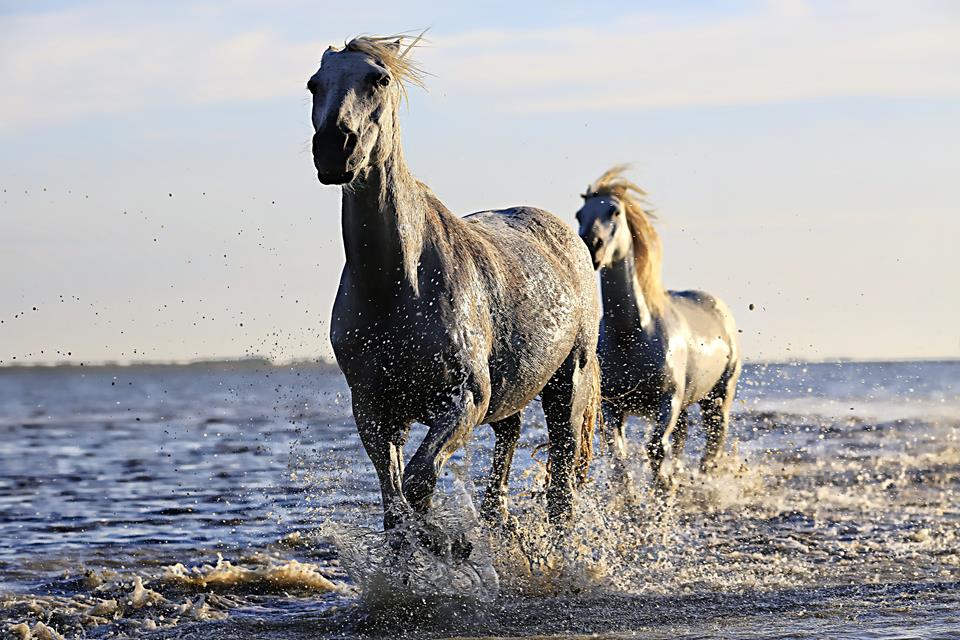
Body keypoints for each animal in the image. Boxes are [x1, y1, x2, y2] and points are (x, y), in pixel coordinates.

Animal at [307, 35, 601, 553]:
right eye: (313, 84)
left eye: (379, 79)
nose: (334, 149)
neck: (397, 287)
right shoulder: (375, 411)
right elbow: (395, 507)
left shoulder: (463, 399)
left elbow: (419, 484)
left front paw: (446, 546)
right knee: (508, 444)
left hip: (568, 388)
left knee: (562, 488)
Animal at [575, 166, 741, 491]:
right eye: (579, 214)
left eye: (614, 211)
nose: (591, 246)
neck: (632, 335)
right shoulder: (614, 407)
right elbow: (619, 457)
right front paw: (632, 498)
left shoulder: (667, 402)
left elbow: (655, 450)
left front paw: (661, 492)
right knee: (682, 437)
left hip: (717, 398)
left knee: (713, 441)